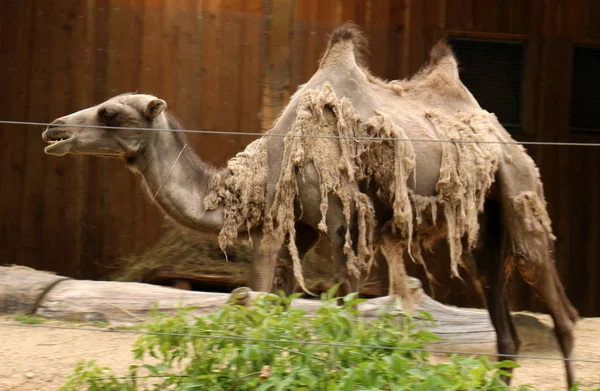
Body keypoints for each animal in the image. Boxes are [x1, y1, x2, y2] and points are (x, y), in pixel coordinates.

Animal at [42, 23, 576, 388]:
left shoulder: (342, 224)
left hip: (520, 191)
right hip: (484, 227)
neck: (271, 164)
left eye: (111, 113)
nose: (53, 129)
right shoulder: (296, 227)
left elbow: (337, 318)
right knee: (505, 327)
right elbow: (271, 312)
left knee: (560, 311)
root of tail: (504, 136)